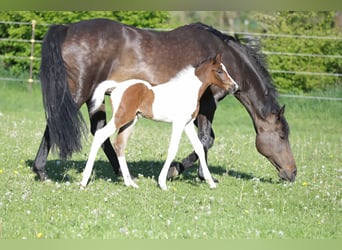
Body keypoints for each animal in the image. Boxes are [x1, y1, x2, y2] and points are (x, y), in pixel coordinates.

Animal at [81, 52, 238, 189]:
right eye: (219, 71)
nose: (234, 87)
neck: (187, 90)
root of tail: (117, 86)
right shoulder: (178, 123)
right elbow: (173, 149)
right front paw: (162, 183)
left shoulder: (187, 124)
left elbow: (199, 147)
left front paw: (211, 183)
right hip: (121, 117)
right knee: (100, 135)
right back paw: (84, 181)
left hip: (131, 120)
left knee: (120, 144)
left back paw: (130, 183)